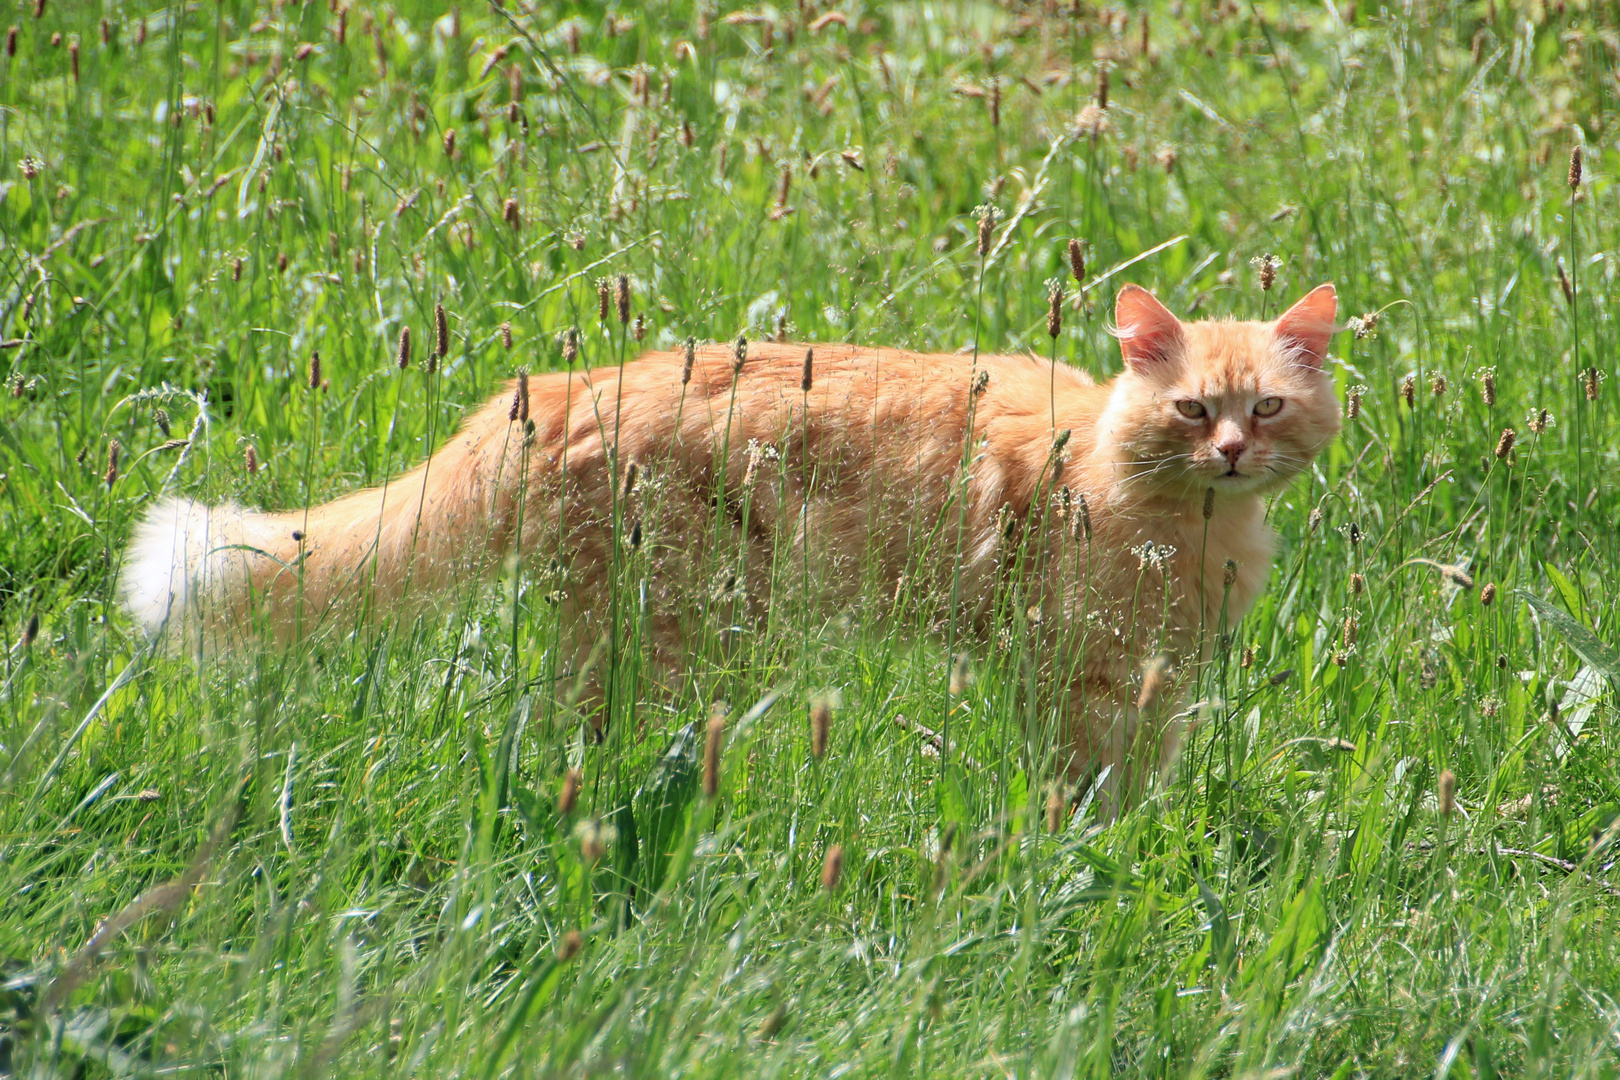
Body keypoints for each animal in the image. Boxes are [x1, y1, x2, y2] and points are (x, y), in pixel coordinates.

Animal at [123, 283, 1341, 816]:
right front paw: (1081, 852)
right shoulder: (1080, 671)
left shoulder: (1157, 681)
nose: (1232, 451)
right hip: (679, 632)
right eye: (1192, 411)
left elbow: (1138, 785)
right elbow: (1081, 788)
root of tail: (565, 382)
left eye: (1269, 408)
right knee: (589, 740)